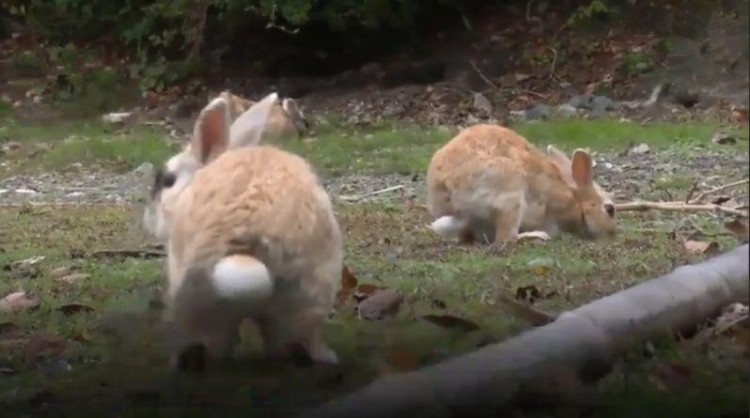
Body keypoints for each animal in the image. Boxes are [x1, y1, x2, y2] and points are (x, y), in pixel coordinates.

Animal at [426, 124, 620, 247]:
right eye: (609, 209)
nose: (613, 233)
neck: (576, 201)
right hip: (511, 199)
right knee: (506, 238)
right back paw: (537, 236)